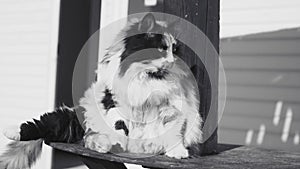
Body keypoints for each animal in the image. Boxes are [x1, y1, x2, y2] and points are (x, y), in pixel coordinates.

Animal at [0, 12, 203, 168]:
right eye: (161, 49)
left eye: (174, 50)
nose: (173, 61)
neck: (148, 78)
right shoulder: (114, 101)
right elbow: (119, 125)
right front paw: (118, 144)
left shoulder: (171, 109)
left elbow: (174, 133)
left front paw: (178, 152)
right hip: (73, 119)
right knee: (40, 123)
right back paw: (10, 130)